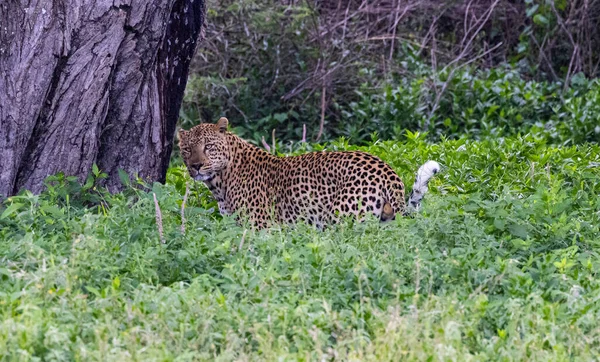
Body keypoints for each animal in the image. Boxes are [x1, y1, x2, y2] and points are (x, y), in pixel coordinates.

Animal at [176, 117, 438, 228]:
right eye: (187, 149)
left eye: (208, 147)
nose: (196, 166)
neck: (220, 182)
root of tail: (386, 170)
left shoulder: (260, 228)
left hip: (342, 220)